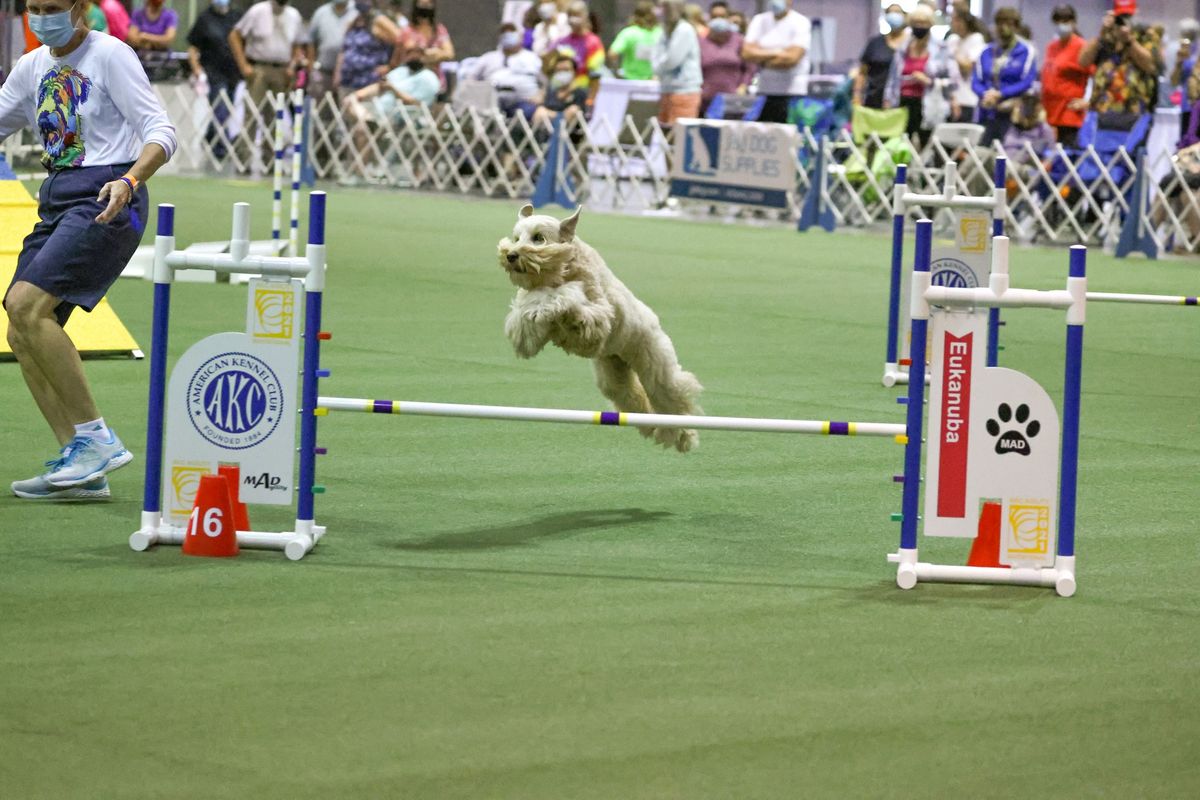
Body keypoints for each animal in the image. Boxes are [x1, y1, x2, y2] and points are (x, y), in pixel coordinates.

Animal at [496, 203, 700, 453]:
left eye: (538, 238)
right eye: (516, 237)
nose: (511, 255)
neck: (564, 268)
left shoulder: (599, 317)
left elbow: (566, 298)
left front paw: (551, 304)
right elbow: (526, 318)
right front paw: (533, 317)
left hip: (656, 367)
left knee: (673, 396)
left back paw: (685, 436)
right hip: (613, 374)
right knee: (632, 397)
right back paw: (651, 427)